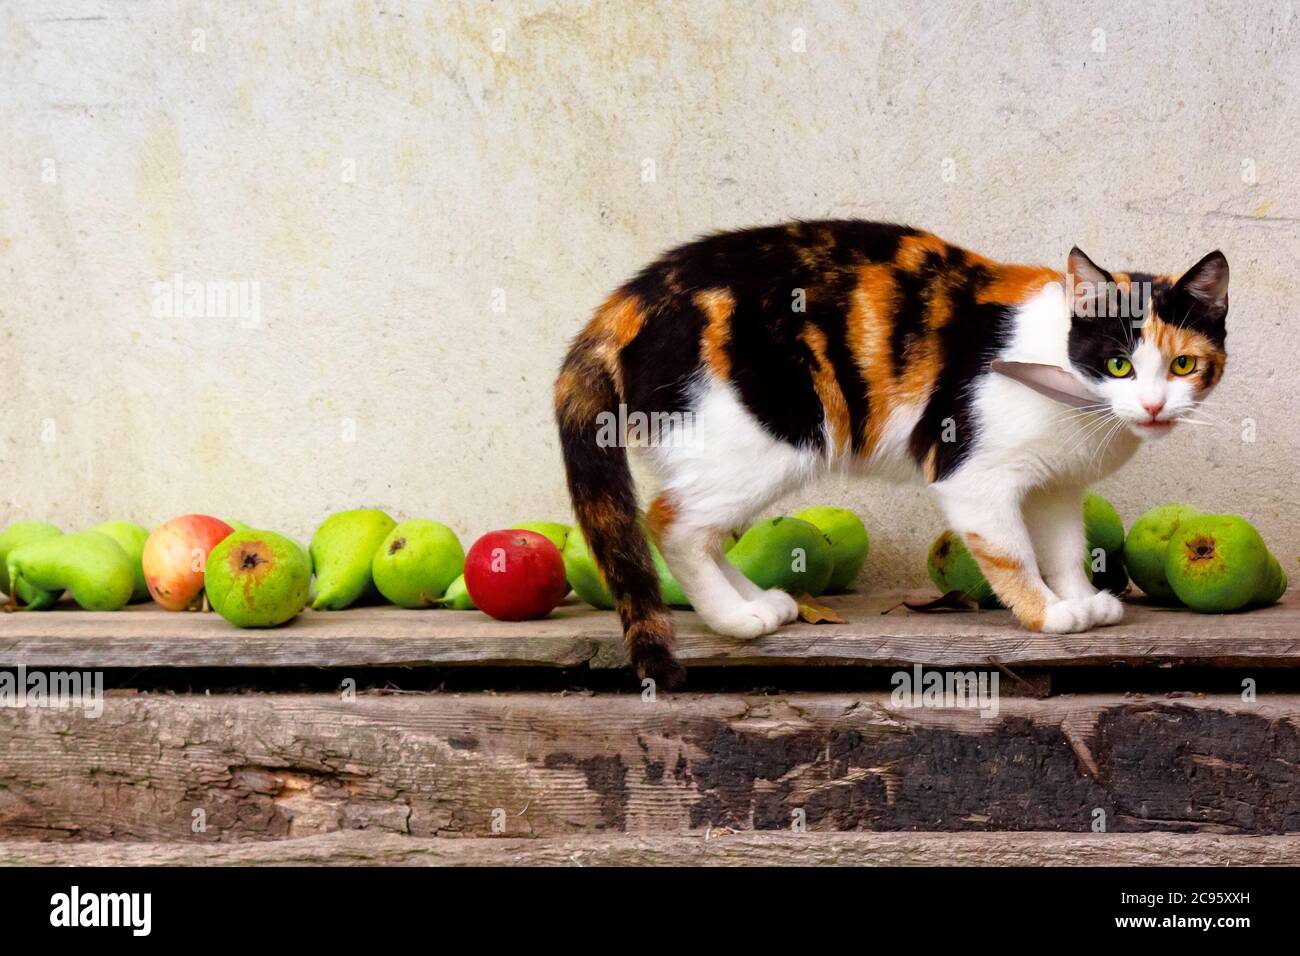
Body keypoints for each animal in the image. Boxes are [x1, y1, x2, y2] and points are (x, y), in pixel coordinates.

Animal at [551, 222, 1227, 686]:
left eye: (1184, 365)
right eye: (1118, 364)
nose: (1154, 406)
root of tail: (630, 299)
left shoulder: (1058, 487)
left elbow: (1062, 546)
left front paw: (1080, 598)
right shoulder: (972, 474)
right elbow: (1011, 553)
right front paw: (1047, 614)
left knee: (705, 528)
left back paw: (757, 603)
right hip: (768, 436)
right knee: (672, 521)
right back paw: (732, 619)